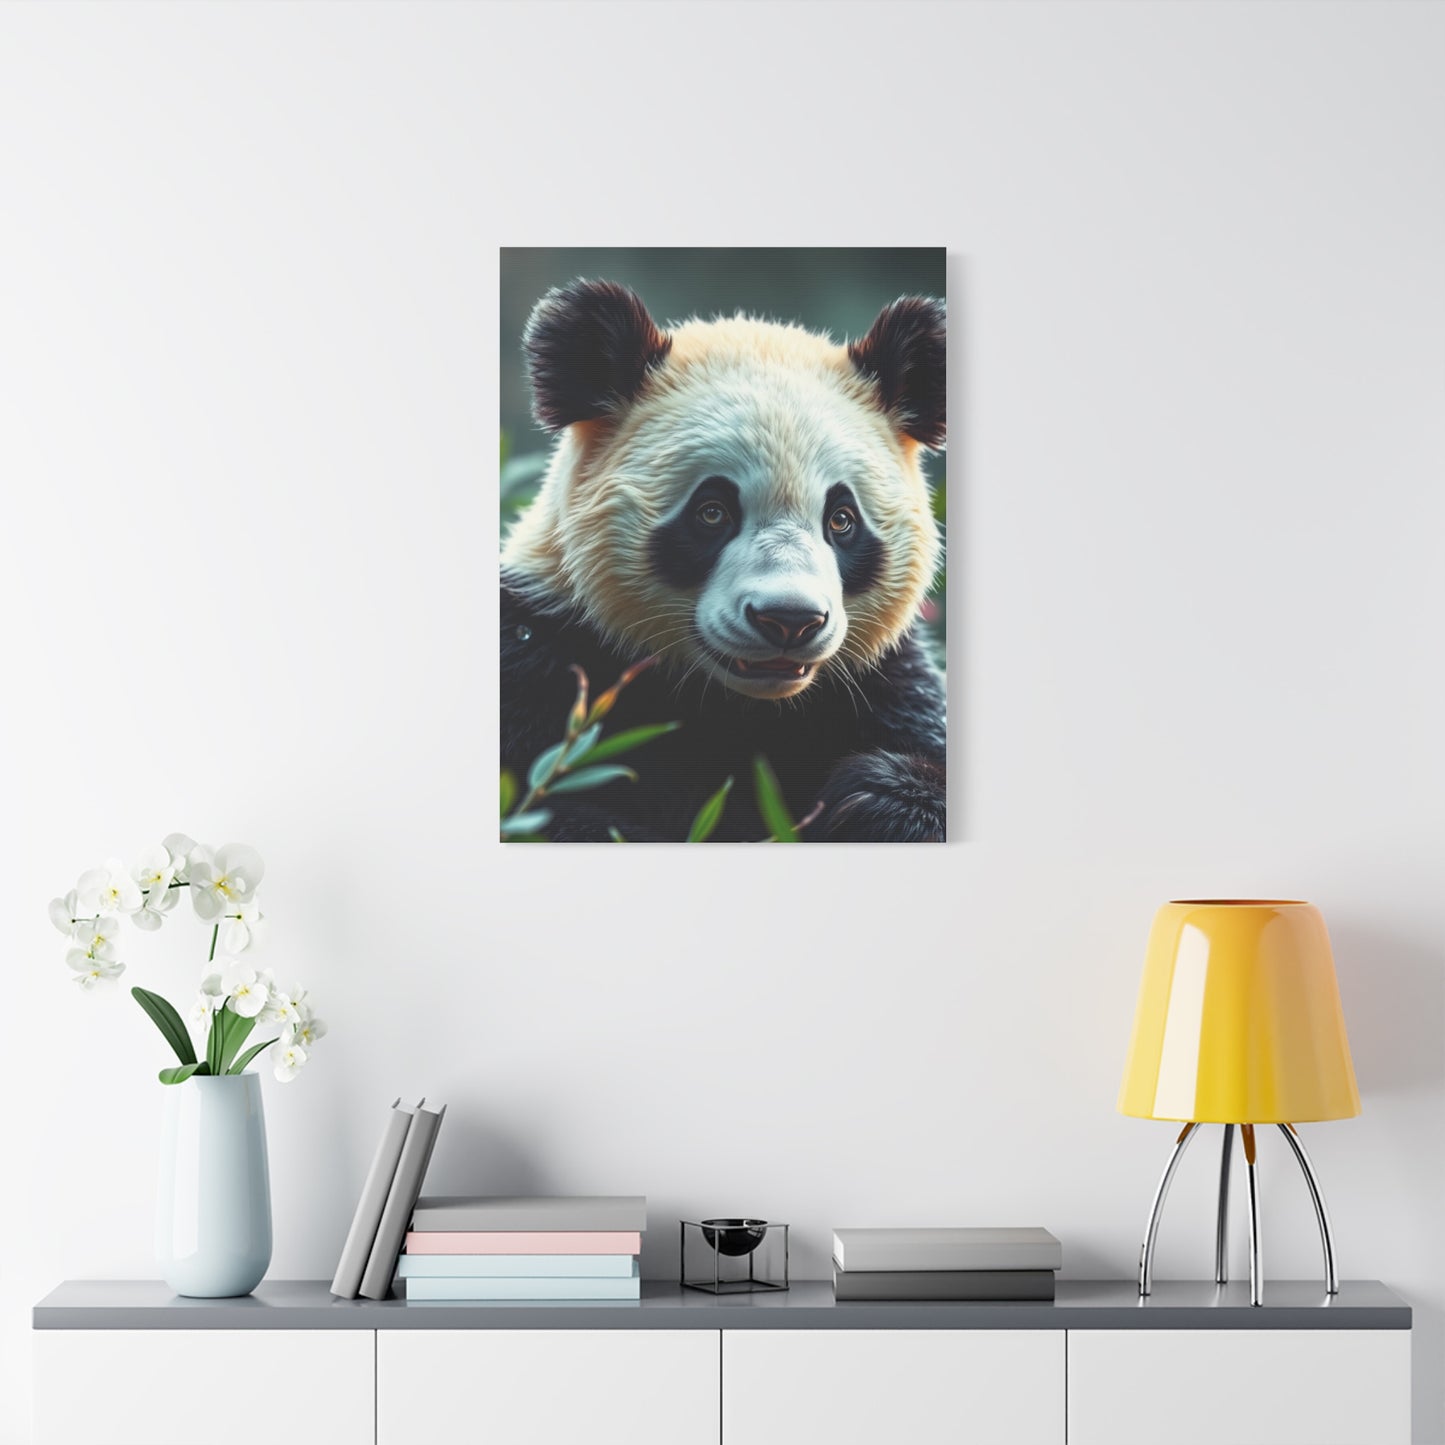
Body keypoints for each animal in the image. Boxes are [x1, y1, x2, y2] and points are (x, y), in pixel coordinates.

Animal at [501, 279, 947, 842]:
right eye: (712, 512)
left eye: (842, 519)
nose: (789, 620)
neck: (737, 705)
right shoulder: (540, 656)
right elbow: (552, 811)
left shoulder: (883, 684)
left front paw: (875, 799)